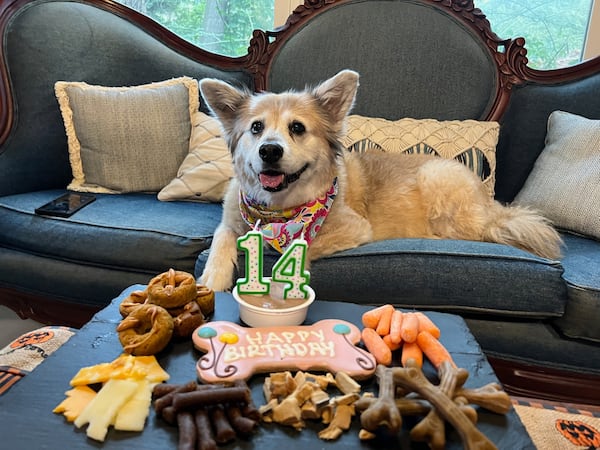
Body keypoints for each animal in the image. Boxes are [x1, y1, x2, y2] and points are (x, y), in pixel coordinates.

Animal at [199, 70, 560, 292]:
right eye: (256, 128)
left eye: (297, 128)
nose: (269, 151)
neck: (278, 211)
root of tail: (492, 206)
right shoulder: (231, 221)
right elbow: (220, 240)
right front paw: (211, 280)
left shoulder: (354, 228)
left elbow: (302, 247)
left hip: (437, 180)